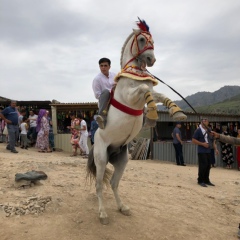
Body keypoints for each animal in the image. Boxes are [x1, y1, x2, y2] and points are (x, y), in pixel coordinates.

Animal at [86, 18, 188, 225]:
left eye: (153, 40)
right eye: (141, 39)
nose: (151, 60)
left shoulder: (148, 92)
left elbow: (159, 94)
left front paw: (177, 112)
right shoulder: (131, 95)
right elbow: (143, 89)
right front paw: (152, 116)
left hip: (122, 160)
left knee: (114, 183)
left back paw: (122, 207)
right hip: (101, 158)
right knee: (100, 185)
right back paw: (103, 214)